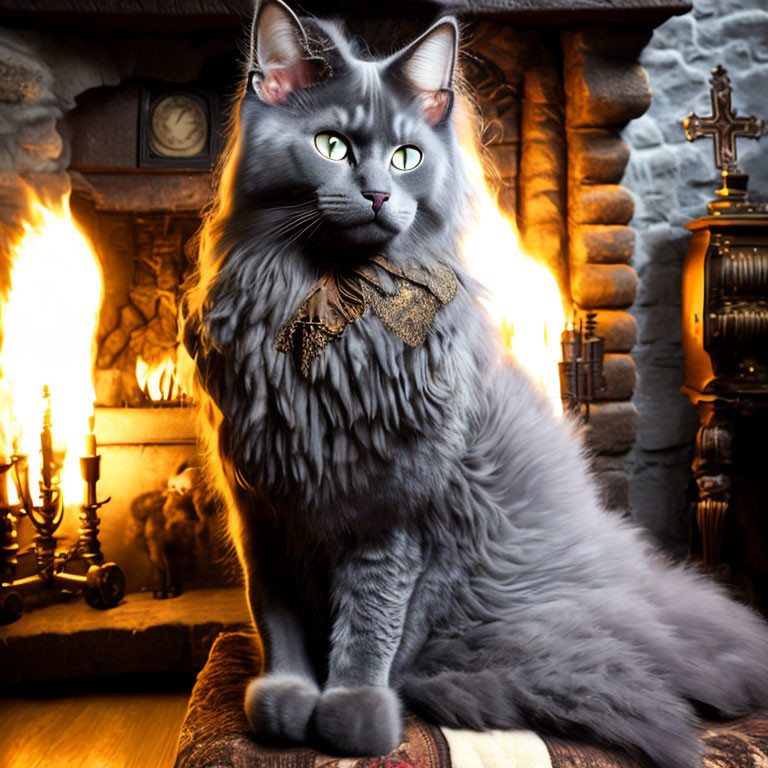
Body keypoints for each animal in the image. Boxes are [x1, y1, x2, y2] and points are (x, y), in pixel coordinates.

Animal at [184, 3, 768, 764]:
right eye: (332, 145)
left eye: (407, 157)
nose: (378, 193)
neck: (338, 314)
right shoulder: (263, 508)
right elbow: (276, 621)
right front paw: (284, 701)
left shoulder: (391, 511)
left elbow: (369, 624)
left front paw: (352, 712)